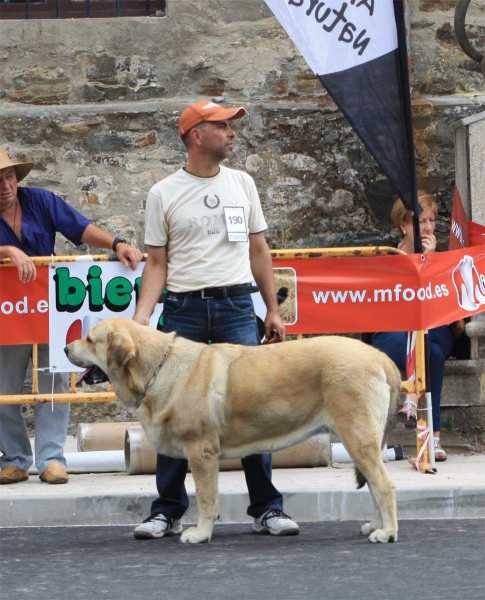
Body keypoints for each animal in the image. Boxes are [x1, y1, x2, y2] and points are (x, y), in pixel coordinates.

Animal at [66, 318, 398, 544]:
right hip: (359, 441)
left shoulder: (201, 453)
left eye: (89, 339)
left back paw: (388, 532)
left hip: (357, 437)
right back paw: (375, 526)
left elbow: (205, 497)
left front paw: (200, 533)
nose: (66, 347)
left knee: (383, 485)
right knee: (373, 484)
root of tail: (380, 357)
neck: (157, 369)